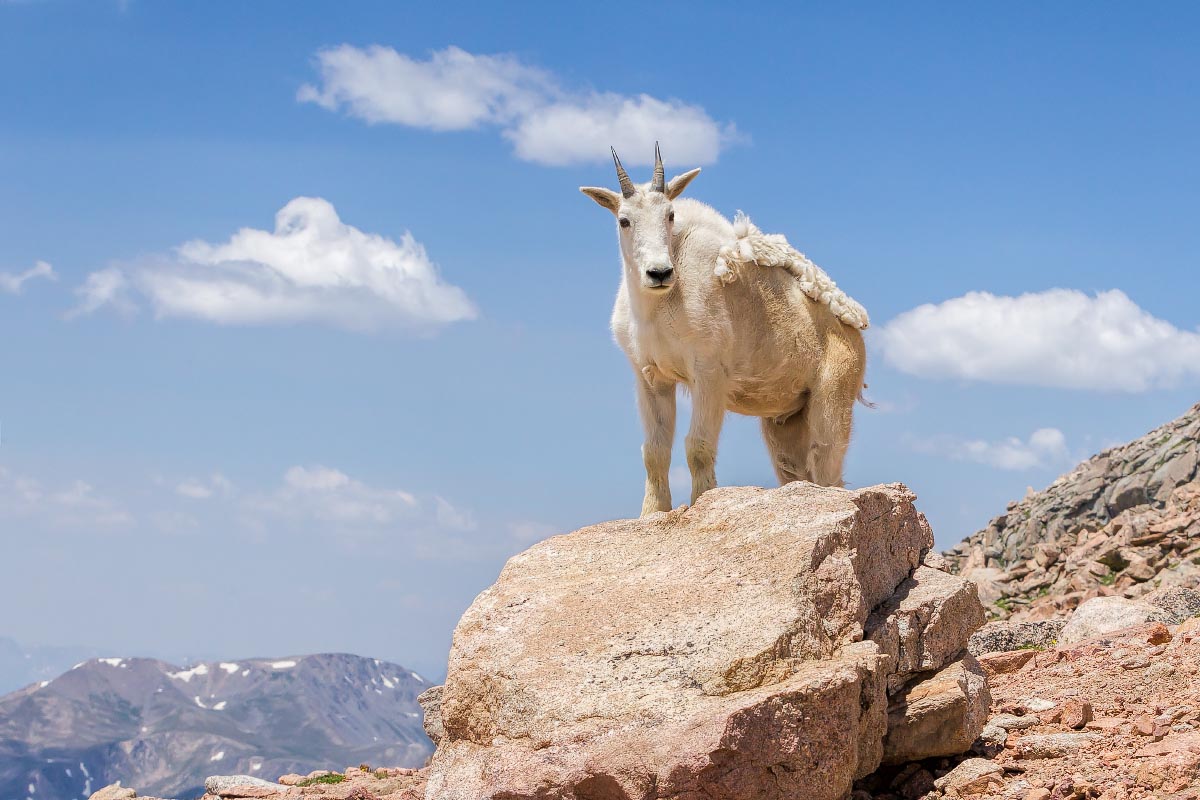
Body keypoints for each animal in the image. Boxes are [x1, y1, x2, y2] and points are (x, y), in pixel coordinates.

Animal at [578, 146, 868, 515]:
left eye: (670, 215)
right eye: (624, 220)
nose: (659, 273)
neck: (659, 305)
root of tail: (856, 331)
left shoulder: (709, 372)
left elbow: (698, 447)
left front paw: (702, 503)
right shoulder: (651, 377)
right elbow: (654, 452)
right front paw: (651, 514)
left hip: (833, 394)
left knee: (826, 463)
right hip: (786, 419)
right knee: (795, 469)